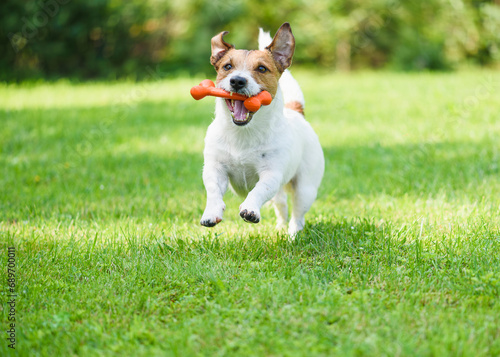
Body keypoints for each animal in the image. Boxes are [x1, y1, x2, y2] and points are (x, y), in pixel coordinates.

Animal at [199, 20, 324, 235]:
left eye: (262, 69)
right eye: (227, 66)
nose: (237, 80)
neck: (243, 133)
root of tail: (296, 111)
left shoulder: (271, 174)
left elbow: (259, 190)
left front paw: (250, 209)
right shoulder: (215, 168)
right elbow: (213, 189)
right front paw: (211, 212)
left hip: (305, 189)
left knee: (297, 216)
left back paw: (292, 235)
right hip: (281, 193)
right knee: (282, 206)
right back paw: (280, 228)